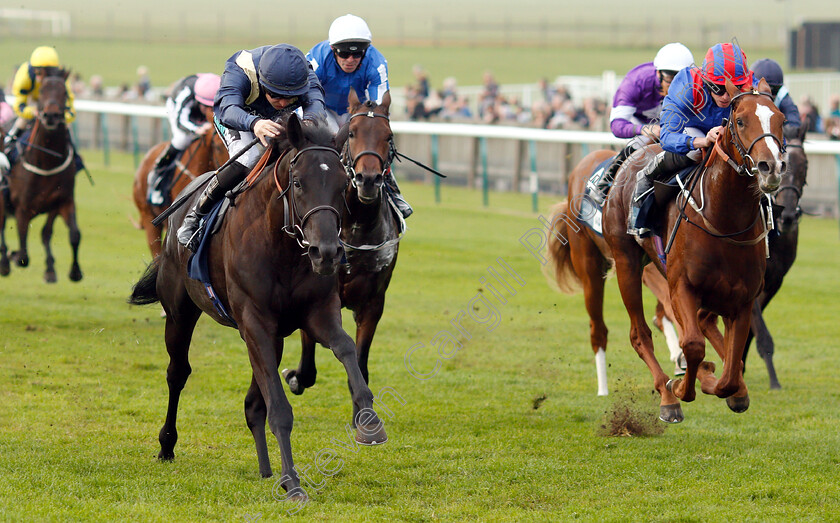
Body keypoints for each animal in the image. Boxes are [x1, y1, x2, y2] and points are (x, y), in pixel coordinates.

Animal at [0, 70, 82, 284]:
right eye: (43, 90)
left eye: (64, 92)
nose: (51, 115)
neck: (47, 161)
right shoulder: (22, 208)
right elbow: (23, 255)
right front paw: (13, 256)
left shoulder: (61, 201)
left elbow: (70, 234)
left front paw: (68, 271)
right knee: (2, 228)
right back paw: (5, 262)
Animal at [128, 112, 388, 498]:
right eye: (298, 183)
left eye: (343, 185)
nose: (326, 252)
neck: (282, 248)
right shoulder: (255, 321)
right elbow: (279, 407)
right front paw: (293, 482)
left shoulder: (316, 312)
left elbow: (345, 348)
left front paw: (369, 423)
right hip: (180, 312)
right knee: (177, 373)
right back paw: (167, 444)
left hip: (271, 336)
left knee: (253, 404)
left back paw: (267, 470)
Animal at [282, 90, 400, 410]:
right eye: (353, 133)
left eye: (388, 135)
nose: (368, 180)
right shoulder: (314, 294)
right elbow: (308, 363)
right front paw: (295, 376)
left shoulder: (373, 302)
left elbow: (360, 365)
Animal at [604, 79, 788, 426]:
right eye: (740, 121)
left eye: (781, 119)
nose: (770, 167)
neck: (725, 221)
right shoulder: (682, 287)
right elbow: (691, 344)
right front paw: (680, 389)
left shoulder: (743, 299)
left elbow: (732, 366)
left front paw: (730, 389)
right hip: (626, 263)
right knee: (640, 333)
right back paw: (667, 396)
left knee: (706, 326)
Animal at [648, 121, 812, 388]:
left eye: (804, 165)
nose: (788, 216)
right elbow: (760, 334)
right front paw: (769, 380)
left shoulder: (769, 284)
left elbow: (747, 332)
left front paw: (738, 368)